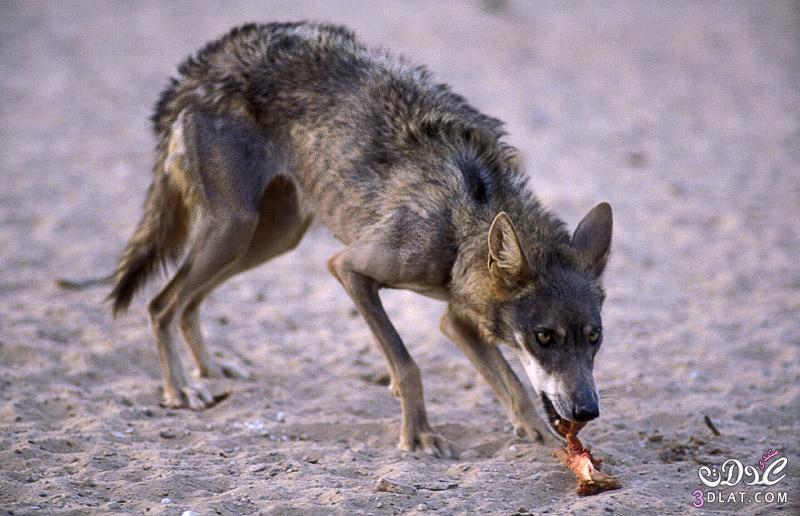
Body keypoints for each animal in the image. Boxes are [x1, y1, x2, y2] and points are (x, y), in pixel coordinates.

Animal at [109, 22, 612, 458]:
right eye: (544, 338)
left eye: (594, 337)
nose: (588, 410)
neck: (463, 220)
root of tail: (206, 64)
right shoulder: (349, 268)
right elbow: (408, 366)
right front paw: (418, 437)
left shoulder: (458, 319)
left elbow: (514, 386)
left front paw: (544, 439)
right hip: (234, 230)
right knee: (161, 303)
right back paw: (180, 390)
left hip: (270, 237)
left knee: (187, 300)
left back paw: (210, 369)